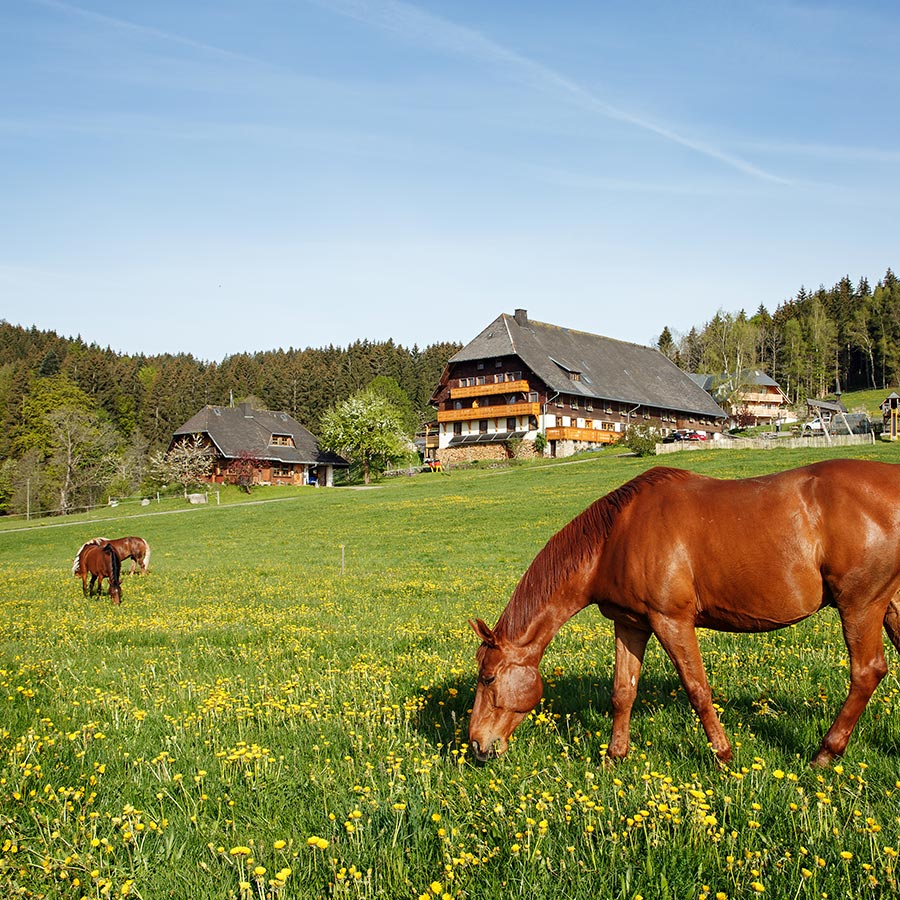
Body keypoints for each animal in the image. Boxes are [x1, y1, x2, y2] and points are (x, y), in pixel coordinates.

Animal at [468, 460, 900, 768]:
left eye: (488, 677)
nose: (476, 745)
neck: (616, 536)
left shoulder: (671, 621)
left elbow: (697, 689)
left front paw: (724, 755)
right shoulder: (630, 624)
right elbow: (623, 692)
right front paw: (614, 757)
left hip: (860, 604)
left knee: (867, 672)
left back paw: (825, 753)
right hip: (889, 604)